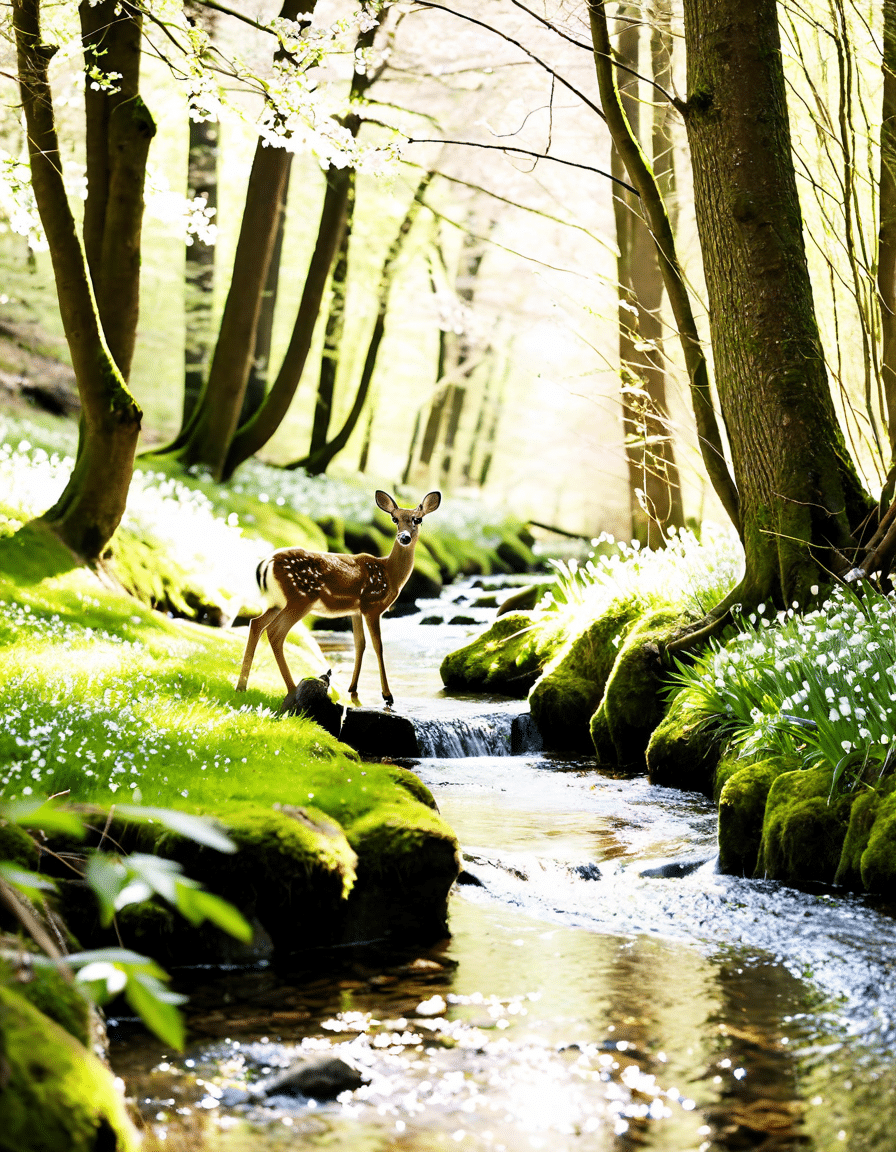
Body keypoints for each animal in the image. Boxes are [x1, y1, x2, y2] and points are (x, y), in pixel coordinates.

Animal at [236, 490, 442, 708]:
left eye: (417, 519)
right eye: (394, 519)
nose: (404, 537)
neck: (390, 574)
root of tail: (267, 562)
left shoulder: (356, 610)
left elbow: (360, 644)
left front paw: (353, 689)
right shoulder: (372, 605)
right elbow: (378, 646)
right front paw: (388, 696)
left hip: (277, 602)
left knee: (256, 624)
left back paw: (241, 686)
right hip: (301, 598)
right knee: (275, 632)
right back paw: (291, 690)